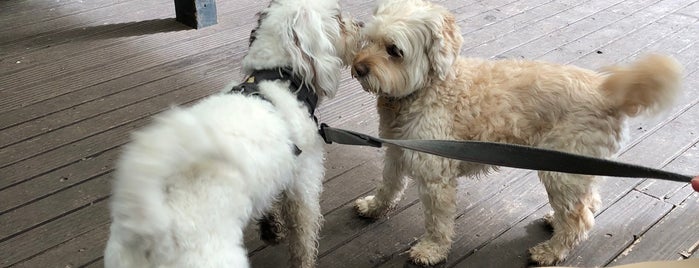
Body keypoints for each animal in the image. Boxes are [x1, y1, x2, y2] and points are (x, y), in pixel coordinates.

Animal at [102, 0, 360, 268]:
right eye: (338, 17)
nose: (360, 24)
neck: (279, 78)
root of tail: (150, 230)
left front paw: (270, 227)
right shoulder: (303, 180)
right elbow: (303, 236)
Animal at [352, 0, 680, 264]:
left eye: (394, 50)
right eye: (367, 39)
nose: (358, 68)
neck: (430, 87)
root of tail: (611, 92)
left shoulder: (436, 175)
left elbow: (437, 221)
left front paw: (431, 250)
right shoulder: (396, 150)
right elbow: (389, 185)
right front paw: (374, 206)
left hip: (560, 172)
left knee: (580, 220)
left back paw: (549, 252)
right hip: (578, 168)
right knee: (589, 202)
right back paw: (554, 222)